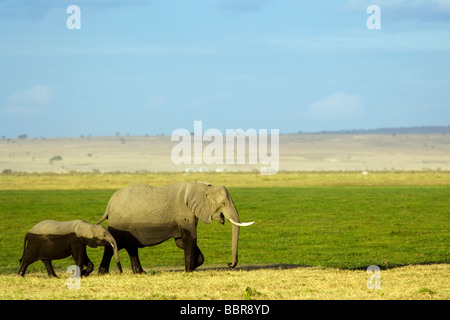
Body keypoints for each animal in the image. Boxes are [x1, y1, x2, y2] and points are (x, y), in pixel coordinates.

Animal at [96, 181, 253, 274]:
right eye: (223, 203)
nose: (229, 264)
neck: (203, 187)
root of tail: (109, 205)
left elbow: (181, 242)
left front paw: (194, 265)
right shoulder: (185, 213)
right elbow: (190, 238)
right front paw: (189, 271)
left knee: (131, 247)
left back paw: (140, 273)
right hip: (119, 223)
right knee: (113, 246)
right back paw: (103, 273)